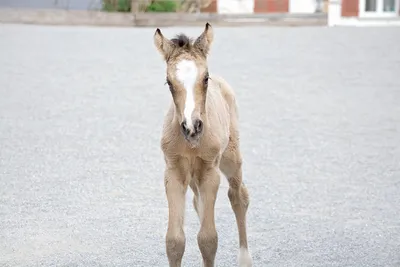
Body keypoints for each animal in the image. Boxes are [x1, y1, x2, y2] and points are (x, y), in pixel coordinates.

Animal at [154, 23, 252, 267]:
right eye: (169, 82)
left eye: (205, 78)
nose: (192, 126)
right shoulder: (173, 172)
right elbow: (174, 241)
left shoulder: (210, 171)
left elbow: (208, 239)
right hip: (193, 176)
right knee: (198, 202)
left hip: (230, 158)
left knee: (239, 196)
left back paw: (245, 258)